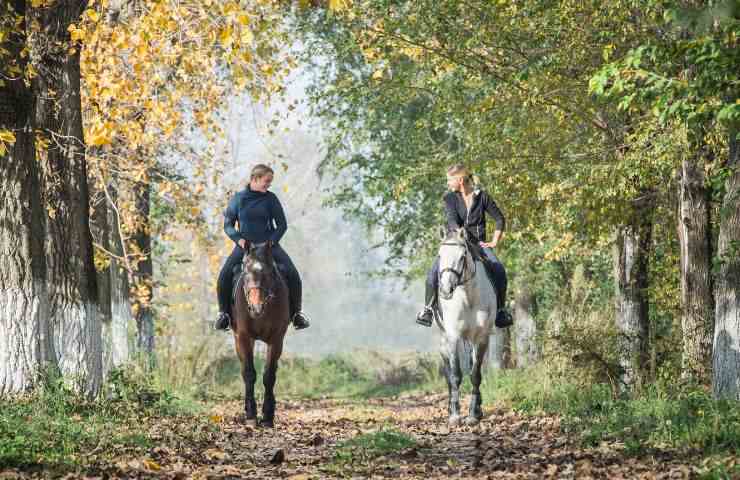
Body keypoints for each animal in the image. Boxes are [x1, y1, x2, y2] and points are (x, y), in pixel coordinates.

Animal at [233, 242, 290, 426]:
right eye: (245, 272)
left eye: (269, 273)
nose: (256, 308)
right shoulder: (243, 337)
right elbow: (249, 374)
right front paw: (251, 414)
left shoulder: (276, 339)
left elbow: (269, 375)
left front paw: (267, 416)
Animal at [440, 227, 498, 426]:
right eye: (439, 255)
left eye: (462, 256)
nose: (445, 290)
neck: (468, 296)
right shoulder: (452, 337)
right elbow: (455, 374)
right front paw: (455, 415)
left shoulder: (481, 338)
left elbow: (475, 374)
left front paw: (473, 414)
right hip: (443, 340)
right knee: (448, 373)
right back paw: (450, 407)